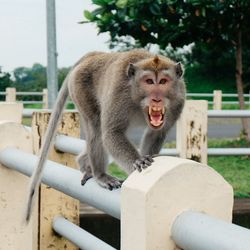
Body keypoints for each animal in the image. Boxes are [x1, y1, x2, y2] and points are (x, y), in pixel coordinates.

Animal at [24, 49, 186, 222]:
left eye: (163, 81)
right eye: (149, 81)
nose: (157, 98)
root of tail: (95, 55)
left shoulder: (178, 101)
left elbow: (156, 133)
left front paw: (146, 158)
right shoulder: (119, 94)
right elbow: (111, 132)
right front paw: (138, 162)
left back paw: (84, 163)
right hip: (80, 88)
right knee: (96, 126)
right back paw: (99, 174)